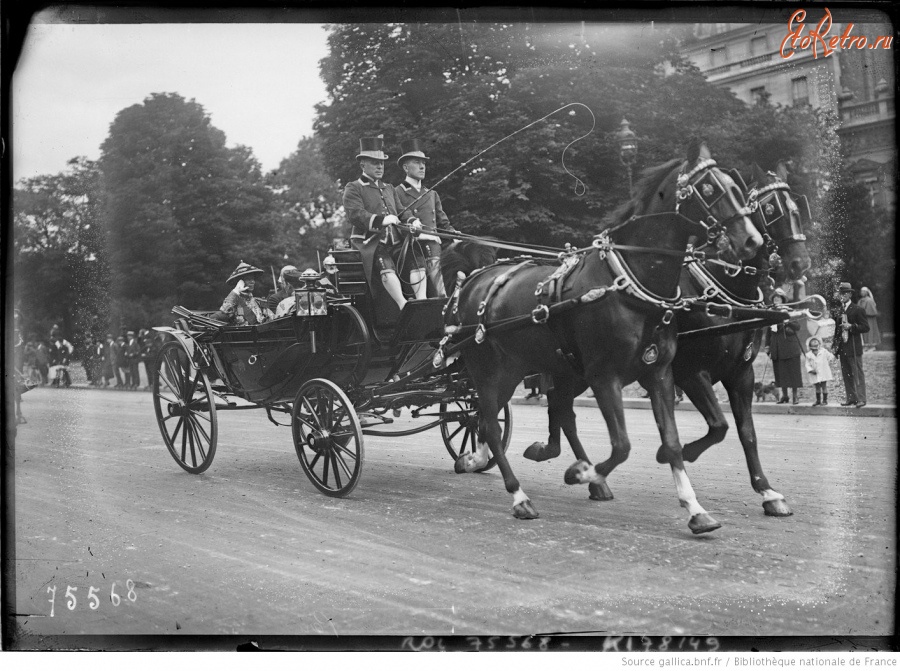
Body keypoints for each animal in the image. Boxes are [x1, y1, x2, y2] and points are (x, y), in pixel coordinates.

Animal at [448, 143, 760, 536]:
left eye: (738, 188)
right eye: (708, 189)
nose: (752, 240)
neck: (632, 286)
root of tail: (474, 279)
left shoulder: (659, 373)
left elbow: (672, 443)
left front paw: (695, 508)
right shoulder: (605, 376)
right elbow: (622, 445)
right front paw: (581, 473)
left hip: (544, 369)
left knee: (535, 413)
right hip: (494, 372)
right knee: (489, 424)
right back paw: (518, 495)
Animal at [524, 160, 812, 516]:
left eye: (796, 206)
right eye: (771, 209)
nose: (801, 262)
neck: (720, 292)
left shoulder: (741, 374)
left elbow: (746, 433)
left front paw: (767, 490)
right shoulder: (690, 372)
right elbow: (719, 425)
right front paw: (676, 453)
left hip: (575, 368)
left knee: (560, 405)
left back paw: (582, 471)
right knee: (558, 404)